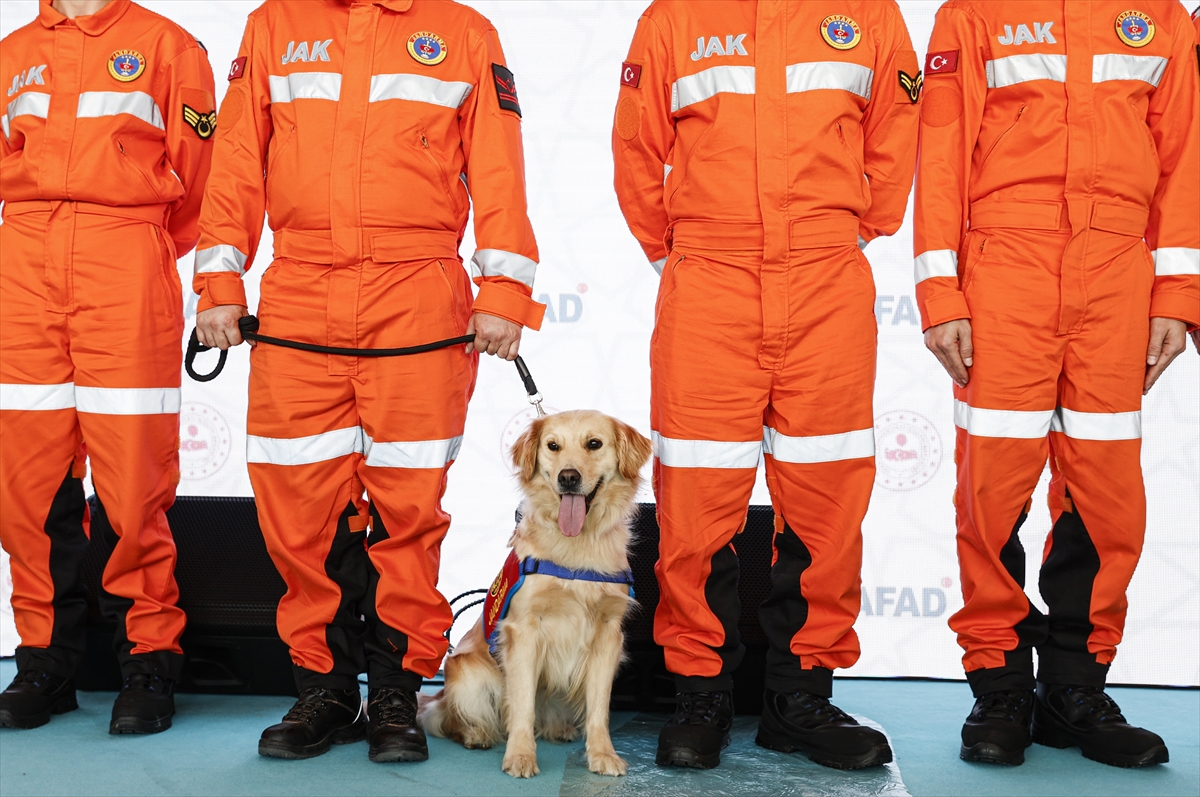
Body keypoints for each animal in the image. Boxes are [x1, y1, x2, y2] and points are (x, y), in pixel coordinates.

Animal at [417, 410, 652, 777]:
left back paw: (558, 728)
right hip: (469, 678)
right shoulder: (525, 631)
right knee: (450, 719)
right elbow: (522, 705)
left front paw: (603, 755)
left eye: (594, 443)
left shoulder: (607, 635)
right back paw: (476, 734)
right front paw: (520, 756)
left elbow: (599, 709)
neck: (576, 545)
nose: (568, 477)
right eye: (553, 446)